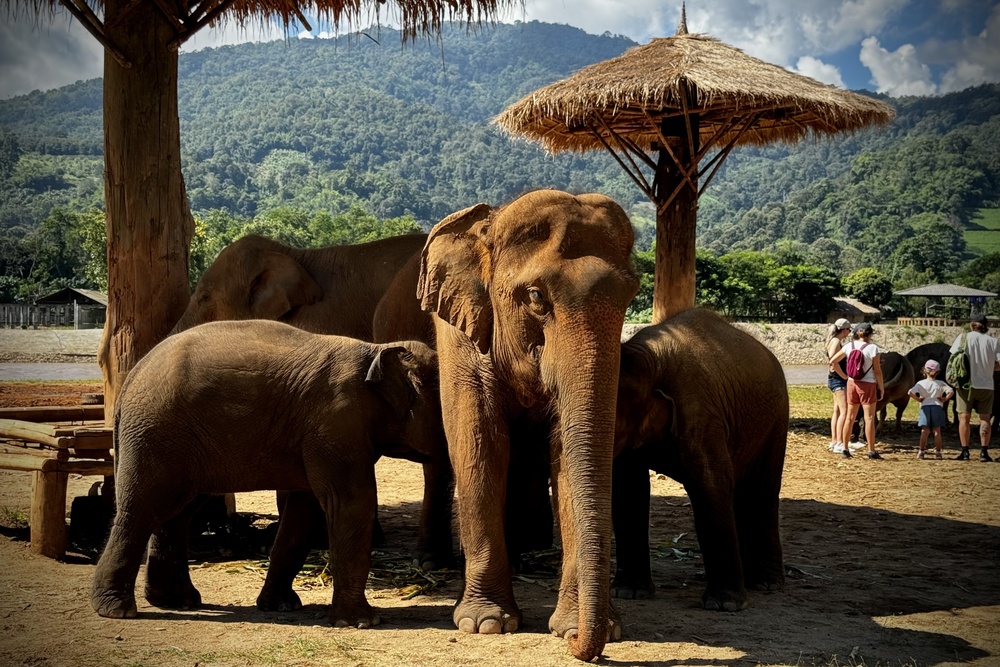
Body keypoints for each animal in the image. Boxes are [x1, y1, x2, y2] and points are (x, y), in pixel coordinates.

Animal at [92, 320, 444, 628]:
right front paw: (362, 622)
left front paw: (281, 606)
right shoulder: (336, 422)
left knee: (178, 511)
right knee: (143, 509)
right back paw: (117, 610)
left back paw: (177, 601)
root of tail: (131, 378)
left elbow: (306, 510)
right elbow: (350, 503)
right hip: (156, 433)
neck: (377, 351)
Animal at [416, 189, 636, 664]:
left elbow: (568, 455)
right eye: (536, 296)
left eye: (632, 295)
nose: (581, 647)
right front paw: (485, 624)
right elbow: (478, 446)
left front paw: (581, 628)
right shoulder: (459, 334)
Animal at [608, 308, 788, 612]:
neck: (648, 357)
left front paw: (724, 605)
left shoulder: (701, 412)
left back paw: (766, 584)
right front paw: (628, 593)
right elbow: (629, 491)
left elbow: (712, 485)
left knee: (761, 491)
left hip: (776, 419)